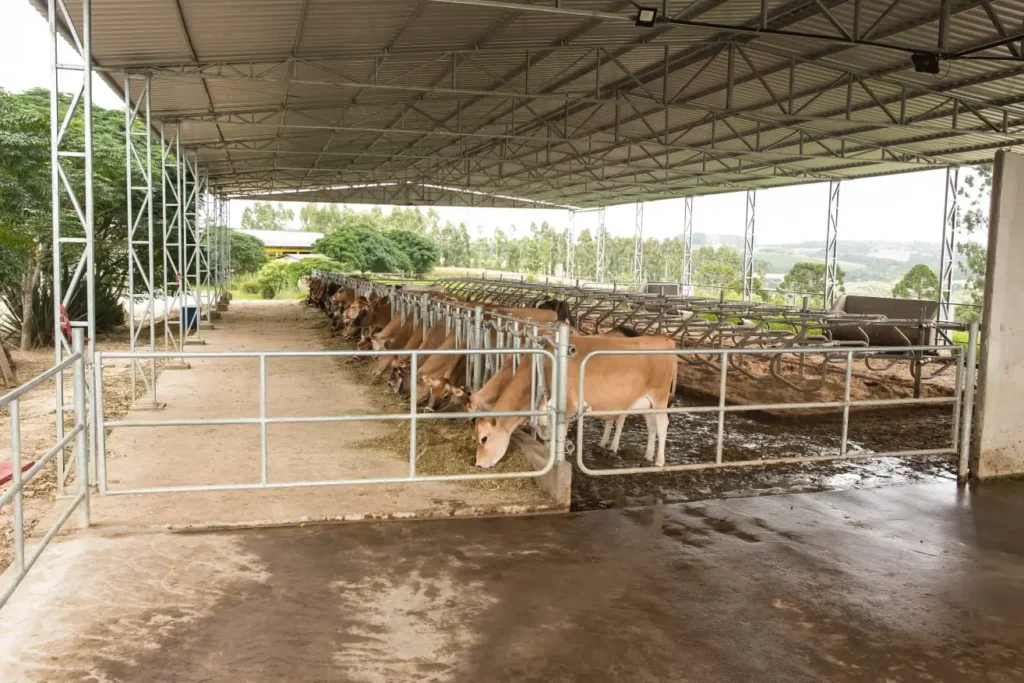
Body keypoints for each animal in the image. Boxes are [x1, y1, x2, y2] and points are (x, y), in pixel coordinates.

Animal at [471, 331, 679, 471]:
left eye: (484, 438)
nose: (478, 464)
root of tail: (665, 339)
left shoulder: (566, 407)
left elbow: (556, 434)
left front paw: (557, 460)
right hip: (647, 403)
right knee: (651, 426)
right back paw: (647, 456)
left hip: (660, 398)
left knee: (662, 425)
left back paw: (659, 461)